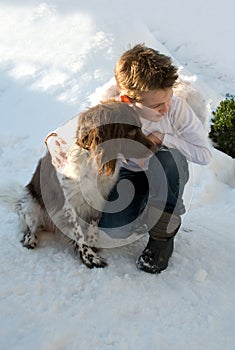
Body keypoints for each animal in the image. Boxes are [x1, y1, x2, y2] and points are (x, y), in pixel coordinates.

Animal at [17, 101, 155, 268]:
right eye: (132, 131)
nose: (155, 147)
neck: (92, 159)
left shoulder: (100, 197)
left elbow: (93, 225)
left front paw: (93, 245)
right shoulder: (69, 202)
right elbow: (78, 233)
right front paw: (89, 257)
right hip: (30, 205)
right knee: (30, 227)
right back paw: (30, 239)